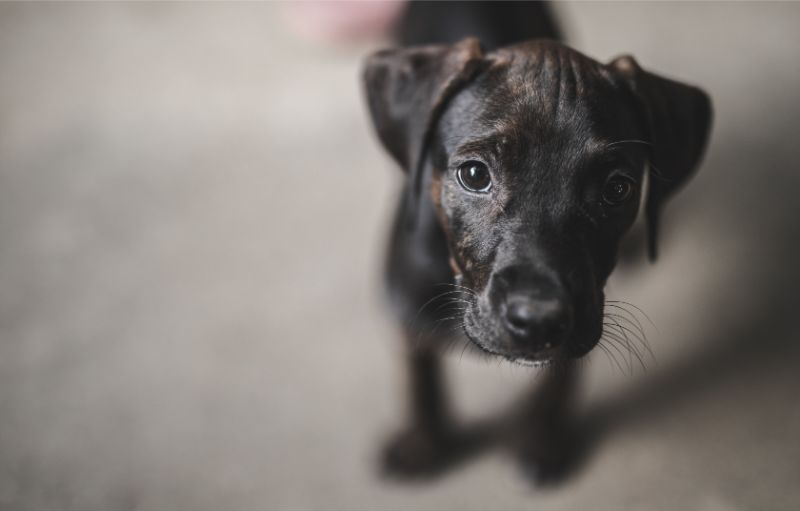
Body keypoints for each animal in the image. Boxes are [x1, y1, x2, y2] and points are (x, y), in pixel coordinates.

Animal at [362, 38, 712, 482]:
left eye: (617, 189)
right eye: (474, 175)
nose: (539, 320)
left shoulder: (586, 309)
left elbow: (558, 379)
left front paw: (542, 435)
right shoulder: (406, 302)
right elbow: (419, 376)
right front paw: (424, 441)